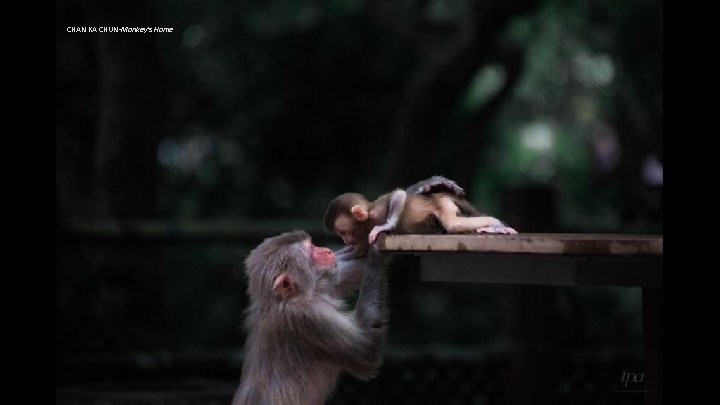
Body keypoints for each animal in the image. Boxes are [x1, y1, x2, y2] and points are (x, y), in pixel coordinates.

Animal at [232, 230, 388, 405]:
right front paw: (376, 253)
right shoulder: (309, 317)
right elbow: (367, 350)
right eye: (312, 252)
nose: (328, 250)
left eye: (313, 245)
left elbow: (345, 269)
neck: (283, 301)